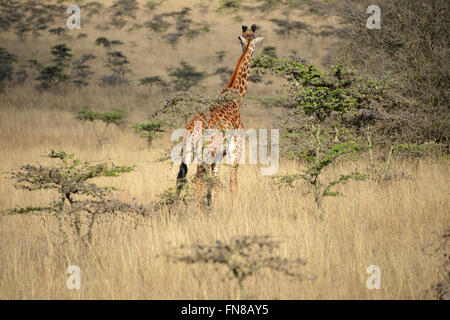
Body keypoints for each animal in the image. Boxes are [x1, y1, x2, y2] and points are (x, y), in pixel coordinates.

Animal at [174, 23, 262, 211]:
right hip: (204, 155)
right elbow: (232, 182)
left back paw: (174, 210)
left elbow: (214, 183)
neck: (235, 99)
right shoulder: (236, 148)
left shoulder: (220, 155)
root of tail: (190, 132)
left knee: (180, 179)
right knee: (197, 181)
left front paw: (212, 210)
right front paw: (235, 212)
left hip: (188, 154)